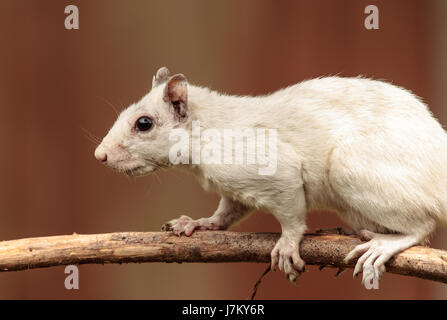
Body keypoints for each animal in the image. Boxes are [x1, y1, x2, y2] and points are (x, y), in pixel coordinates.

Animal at [93, 67, 447, 288]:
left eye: (144, 123)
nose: (100, 156)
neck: (208, 130)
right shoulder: (232, 189)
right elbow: (226, 213)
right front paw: (197, 223)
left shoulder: (274, 169)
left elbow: (292, 215)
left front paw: (288, 246)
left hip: (351, 169)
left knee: (422, 226)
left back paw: (386, 243)